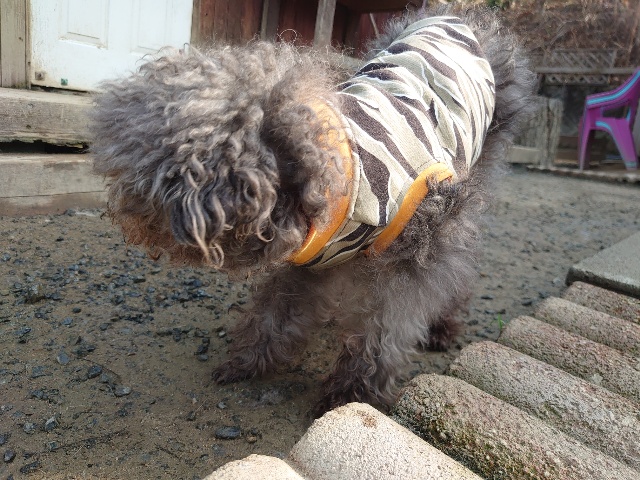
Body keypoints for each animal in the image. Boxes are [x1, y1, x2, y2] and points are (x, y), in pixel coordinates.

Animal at [91, 5, 534, 415]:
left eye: (147, 181)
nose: (119, 214)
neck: (350, 181)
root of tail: (461, 18)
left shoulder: (416, 256)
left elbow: (387, 327)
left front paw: (354, 391)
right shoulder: (313, 257)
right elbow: (277, 309)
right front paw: (250, 358)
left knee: (460, 270)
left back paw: (444, 324)